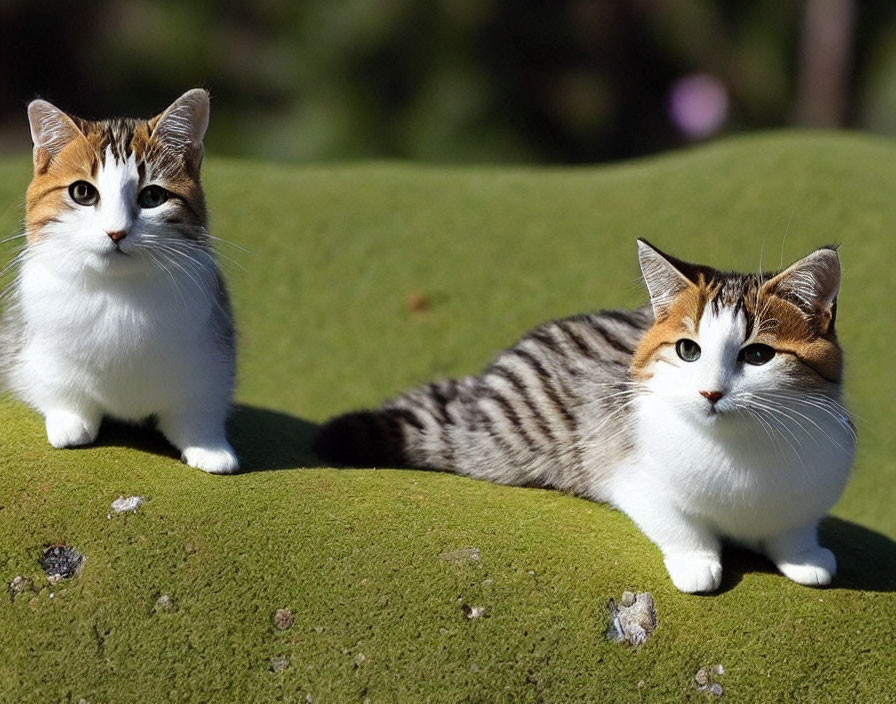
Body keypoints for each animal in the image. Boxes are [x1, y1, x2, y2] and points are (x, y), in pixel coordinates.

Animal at [0, 88, 238, 472]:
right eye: (83, 193)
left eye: (153, 196)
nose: (116, 232)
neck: (120, 290)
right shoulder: (40, 351)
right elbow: (59, 388)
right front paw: (70, 421)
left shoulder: (209, 356)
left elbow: (196, 409)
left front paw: (209, 446)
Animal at [316, 239, 856, 592]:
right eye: (688, 350)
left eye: (758, 355)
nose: (710, 392)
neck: (740, 444)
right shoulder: (632, 475)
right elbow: (680, 524)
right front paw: (697, 561)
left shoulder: (809, 493)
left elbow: (793, 528)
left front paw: (804, 557)